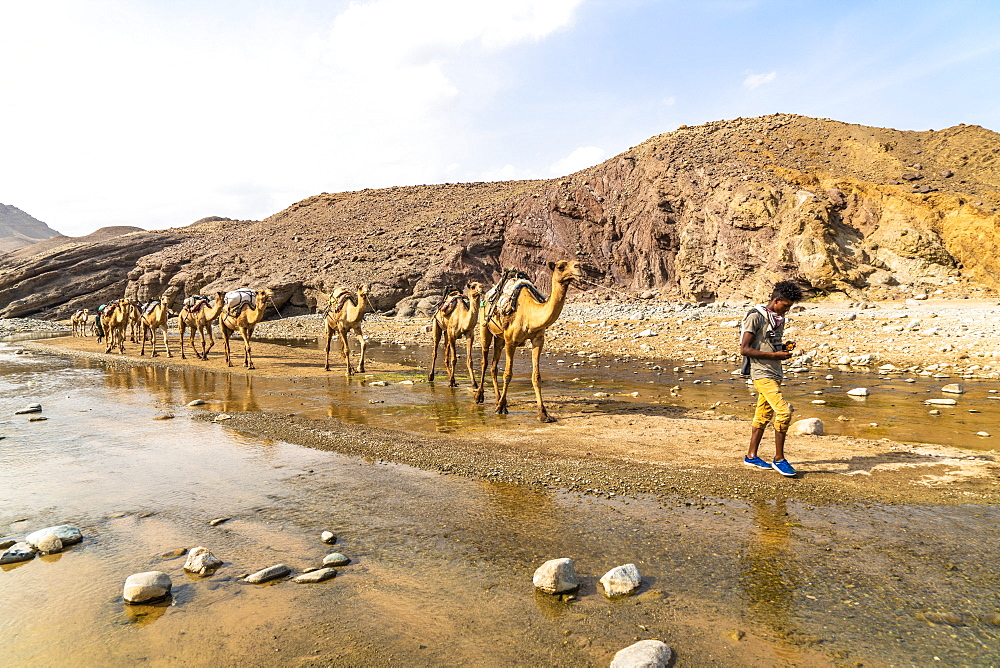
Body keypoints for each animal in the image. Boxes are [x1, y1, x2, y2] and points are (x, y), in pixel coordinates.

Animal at [476, 260, 584, 422]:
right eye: (560, 266)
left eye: (575, 263)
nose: (579, 267)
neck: (529, 314)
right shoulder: (511, 341)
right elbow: (508, 374)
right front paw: (501, 408)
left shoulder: (538, 340)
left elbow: (536, 376)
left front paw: (543, 414)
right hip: (485, 326)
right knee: (484, 361)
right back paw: (480, 396)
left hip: (500, 337)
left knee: (494, 366)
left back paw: (497, 398)